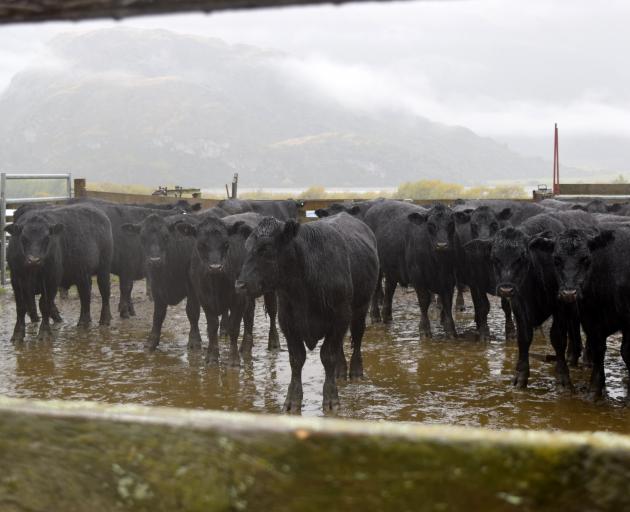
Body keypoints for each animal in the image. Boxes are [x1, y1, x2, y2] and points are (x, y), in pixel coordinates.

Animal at [4, 204, 112, 340]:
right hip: (83, 274)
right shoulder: (16, 279)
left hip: (104, 268)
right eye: (23, 238)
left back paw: (104, 320)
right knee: (85, 296)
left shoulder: (51, 279)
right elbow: (21, 306)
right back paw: (83, 321)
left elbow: (44, 304)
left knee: (105, 292)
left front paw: (44, 332)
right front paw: (18, 334)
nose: (34, 260)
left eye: (47, 238)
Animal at [122, 214, 201, 350]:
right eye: (142, 238)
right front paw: (151, 341)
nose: (155, 260)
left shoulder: (192, 289)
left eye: (166, 236)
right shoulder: (156, 288)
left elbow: (192, 312)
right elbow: (158, 315)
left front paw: (194, 341)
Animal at [177, 213, 280, 368]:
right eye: (201, 245)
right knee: (249, 316)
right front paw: (212, 357)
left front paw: (233, 359)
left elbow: (234, 327)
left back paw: (273, 343)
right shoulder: (204, 298)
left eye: (226, 244)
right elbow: (212, 326)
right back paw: (246, 346)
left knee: (272, 312)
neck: (215, 283)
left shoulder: (238, 299)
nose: (215, 267)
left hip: (270, 289)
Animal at [235, 213, 378, 412]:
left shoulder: (340, 317)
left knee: (357, 338)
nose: (240, 285)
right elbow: (296, 359)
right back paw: (340, 371)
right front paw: (292, 400)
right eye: (247, 247)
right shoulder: (287, 322)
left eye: (266, 249)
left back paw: (356, 370)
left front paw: (331, 398)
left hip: (360, 308)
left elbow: (328, 356)